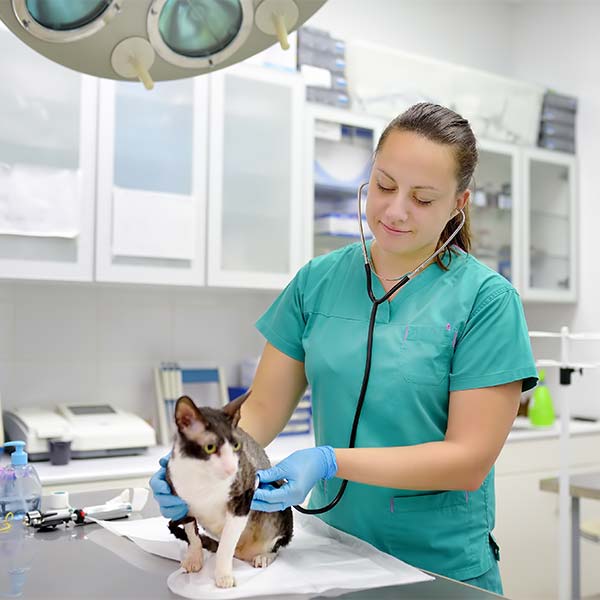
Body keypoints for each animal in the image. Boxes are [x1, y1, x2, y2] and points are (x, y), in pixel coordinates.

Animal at [166, 392, 292, 588]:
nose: (232, 468)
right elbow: (192, 534)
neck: (204, 479)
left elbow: (226, 545)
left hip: (280, 503)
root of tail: (243, 552)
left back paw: (263, 556)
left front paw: (223, 575)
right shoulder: (179, 499)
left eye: (236, 446)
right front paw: (194, 558)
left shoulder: (243, 499)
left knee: (276, 545)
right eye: (210, 447)